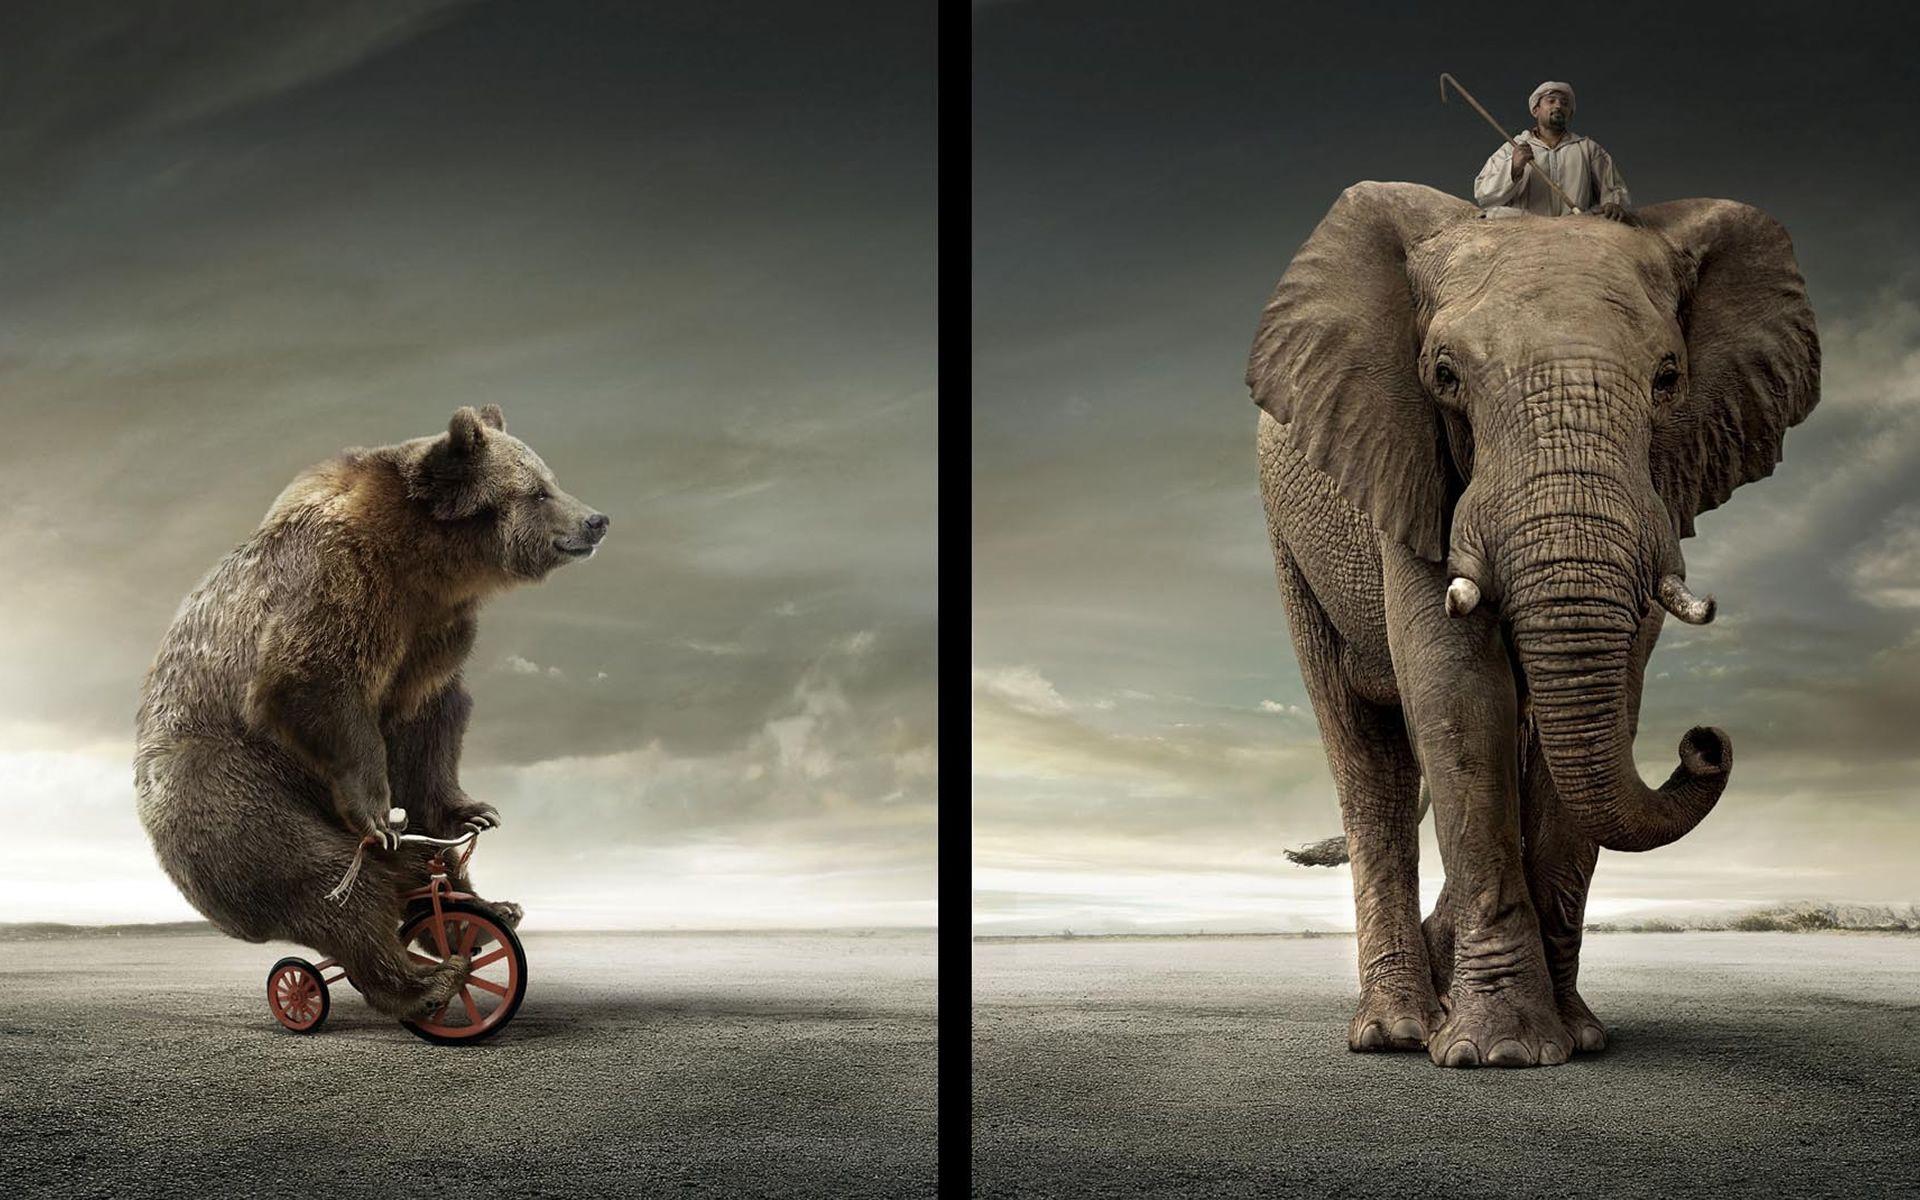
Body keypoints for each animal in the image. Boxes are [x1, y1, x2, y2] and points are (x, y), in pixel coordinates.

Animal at [134, 404, 608, 1019]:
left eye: (551, 480)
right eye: (538, 491)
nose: (597, 520)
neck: (426, 562)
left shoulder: (431, 633)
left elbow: (431, 722)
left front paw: (473, 812)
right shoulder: (340, 584)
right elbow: (314, 682)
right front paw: (379, 815)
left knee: (413, 874)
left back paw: (486, 913)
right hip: (228, 786)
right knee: (326, 880)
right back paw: (425, 981)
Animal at [1247, 182, 1819, 1068]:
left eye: (1669, 377)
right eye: (1444, 376)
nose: (1705, 742)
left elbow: (1603, 700)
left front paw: (1576, 1038)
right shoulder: (1408, 462)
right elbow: (1456, 691)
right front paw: (1498, 1053)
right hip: (1290, 541)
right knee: (1367, 756)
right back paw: (1396, 1030)